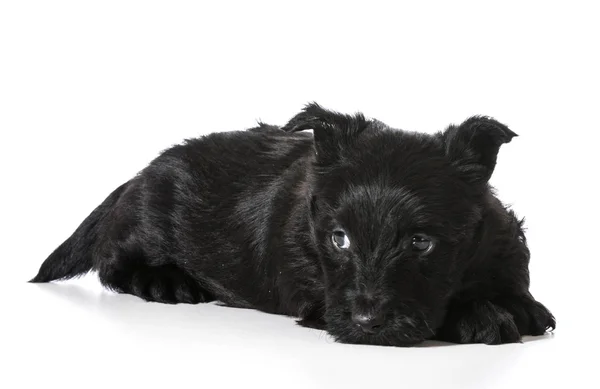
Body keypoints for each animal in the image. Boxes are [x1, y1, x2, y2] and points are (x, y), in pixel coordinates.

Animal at [30, 103, 556, 346]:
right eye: (339, 239)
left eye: (421, 243)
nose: (366, 323)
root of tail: (136, 176)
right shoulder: (315, 290)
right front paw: (483, 315)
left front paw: (519, 306)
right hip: (143, 224)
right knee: (113, 262)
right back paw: (166, 281)